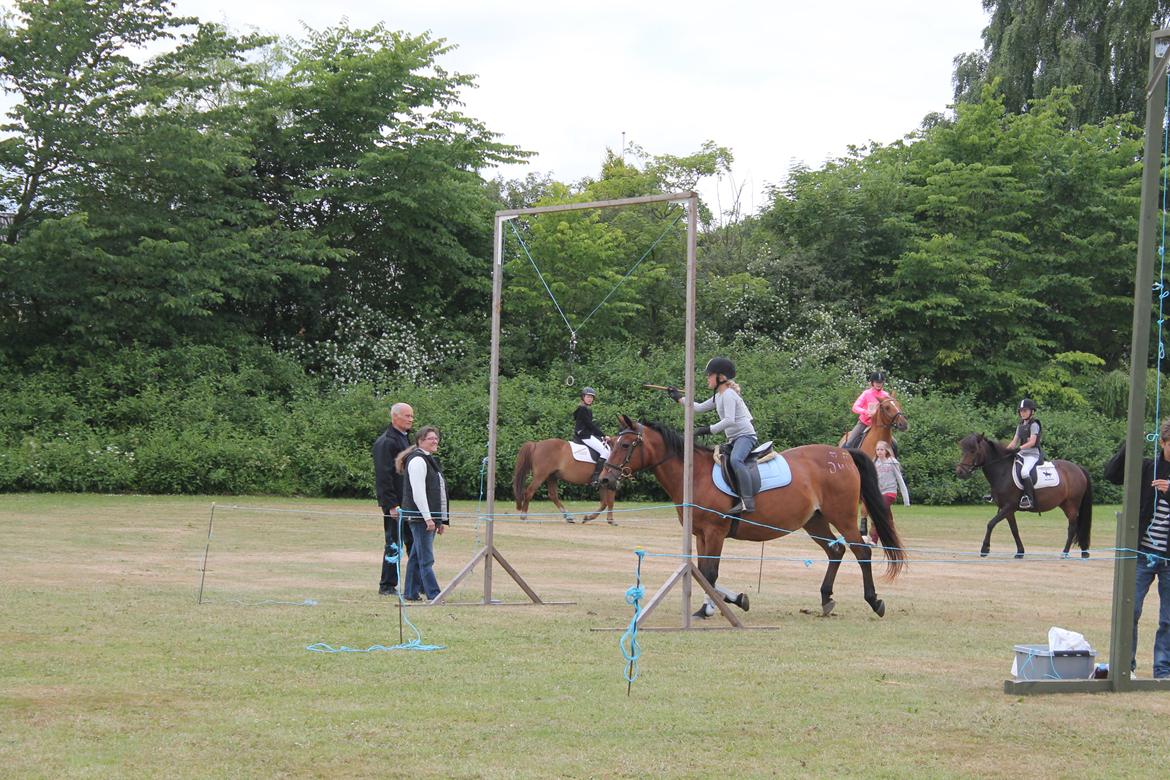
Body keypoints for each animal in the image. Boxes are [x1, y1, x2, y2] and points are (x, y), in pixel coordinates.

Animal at [599, 418, 907, 617]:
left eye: (626, 445)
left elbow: (709, 572)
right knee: (836, 551)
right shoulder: (700, 534)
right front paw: (735, 599)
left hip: (842, 516)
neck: (694, 475)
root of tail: (843, 454)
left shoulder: (715, 533)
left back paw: (873, 600)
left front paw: (708, 608)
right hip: (815, 521)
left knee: (861, 551)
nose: (604, 480)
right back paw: (826, 598)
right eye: (612, 442)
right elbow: (700, 570)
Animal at [954, 430, 1090, 558]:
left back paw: (1065, 553)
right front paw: (1020, 552)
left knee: (1072, 528)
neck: (1003, 472)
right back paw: (1083, 553)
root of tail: (1078, 468)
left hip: (1071, 505)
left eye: (973, 451)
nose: (960, 472)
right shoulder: (1007, 510)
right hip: (1064, 504)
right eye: (962, 451)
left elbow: (990, 524)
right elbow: (1014, 530)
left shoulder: (1009, 506)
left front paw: (985, 549)